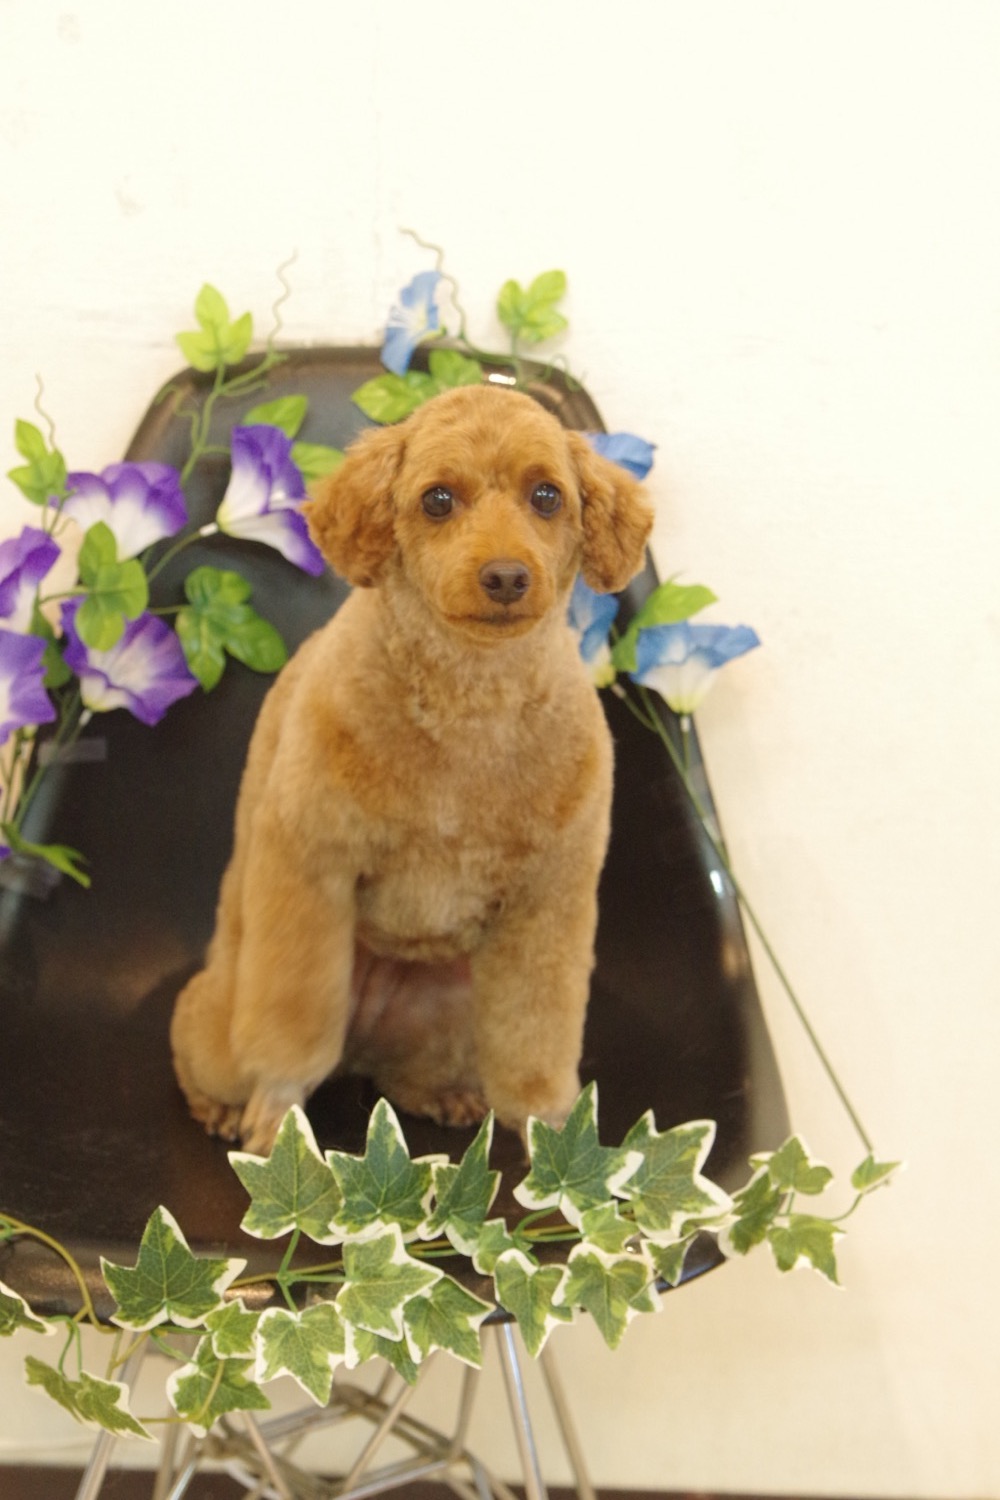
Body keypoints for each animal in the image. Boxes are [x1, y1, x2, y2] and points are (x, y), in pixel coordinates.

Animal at [170, 382, 653, 1155]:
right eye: (437, 500)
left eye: (547, 495)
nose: (506, 576)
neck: (468, 702)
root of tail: (360, 1047)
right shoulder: (311, 868)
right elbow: (288, 1026)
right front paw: (276, 1115)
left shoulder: (550, 902)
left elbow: (538, 1040)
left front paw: (554, 1141)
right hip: (226, 1009)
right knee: (209, 1047)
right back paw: (220, 1107)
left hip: (454, 1011)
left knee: (412, 1072)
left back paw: (443, 1094)